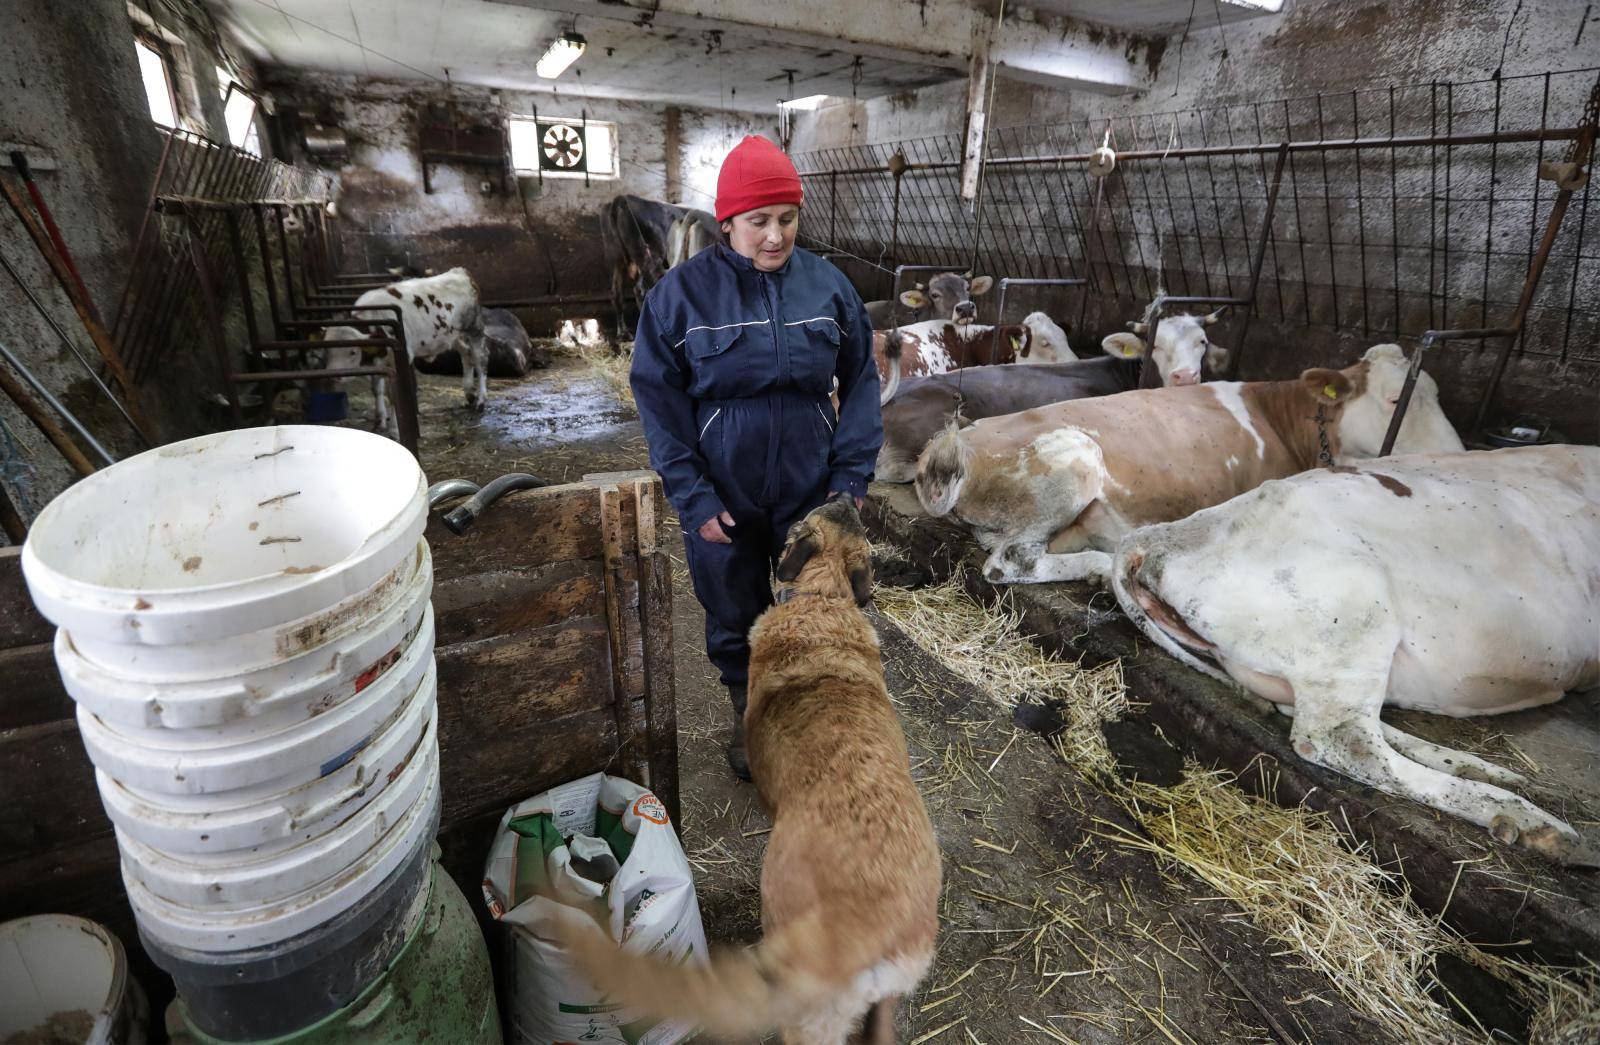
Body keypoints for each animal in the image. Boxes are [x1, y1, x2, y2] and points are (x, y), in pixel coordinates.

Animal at [321, 267, 489, 435]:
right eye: (327, 350)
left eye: (352, 352)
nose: (334, 375)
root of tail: (459, 271)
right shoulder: (378, 362)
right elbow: (376, 389)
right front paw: (380, 420)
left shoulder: (401, 358)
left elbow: (394, 395)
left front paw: (395, 429)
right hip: (452, 335)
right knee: (466, 353)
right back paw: (468, 392)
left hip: (474, 329)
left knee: (480, 359)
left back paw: (481, 400)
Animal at [915, 344, 1465, 582]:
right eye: (1396, 399)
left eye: (1439, 393)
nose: (1460, 455)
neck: (1280, 417)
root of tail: (956, 443)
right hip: (1076, 459)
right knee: (1010, 562)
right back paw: (1099, 568)